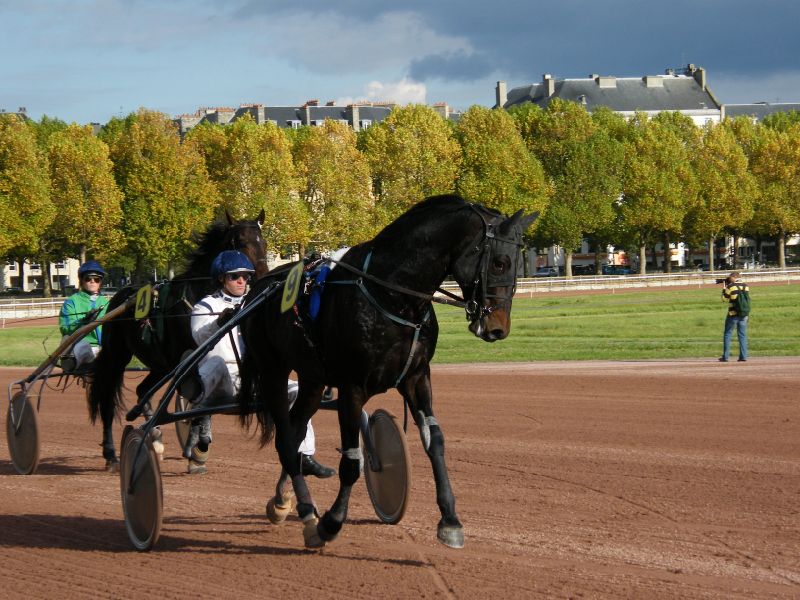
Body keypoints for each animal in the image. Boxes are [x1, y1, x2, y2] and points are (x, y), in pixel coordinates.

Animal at [89, 211, 268, 468]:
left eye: (264, 242)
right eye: (241, 242)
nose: (262, 276)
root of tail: (118, 297)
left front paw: (197, 444)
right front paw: (197, 445)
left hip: (161, 365)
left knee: (143, 390)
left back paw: (155, 439)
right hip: (117, 355)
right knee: (106, 397)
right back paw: (111, 453)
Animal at [238, 196, 536, 548]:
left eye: (516, 261)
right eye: (501, 263)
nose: (498, 327)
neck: (394, 297)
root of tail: (259, 286)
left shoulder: (416, 378)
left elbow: (435, 442)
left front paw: (450, 520)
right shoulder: (352, 388)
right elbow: (352, 460)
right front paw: (332, 522)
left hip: (312, 379)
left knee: (295, 434)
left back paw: (285, 502)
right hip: (273, 370)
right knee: (285, 438)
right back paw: (310, 516)